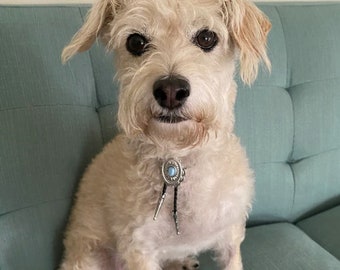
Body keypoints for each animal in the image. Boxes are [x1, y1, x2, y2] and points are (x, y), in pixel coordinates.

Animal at [59, 0, 270, 268]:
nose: (170, 90)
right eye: (136, 42)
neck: (177, 157)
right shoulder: (139, 246)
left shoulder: (230, 235)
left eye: (207, 37)